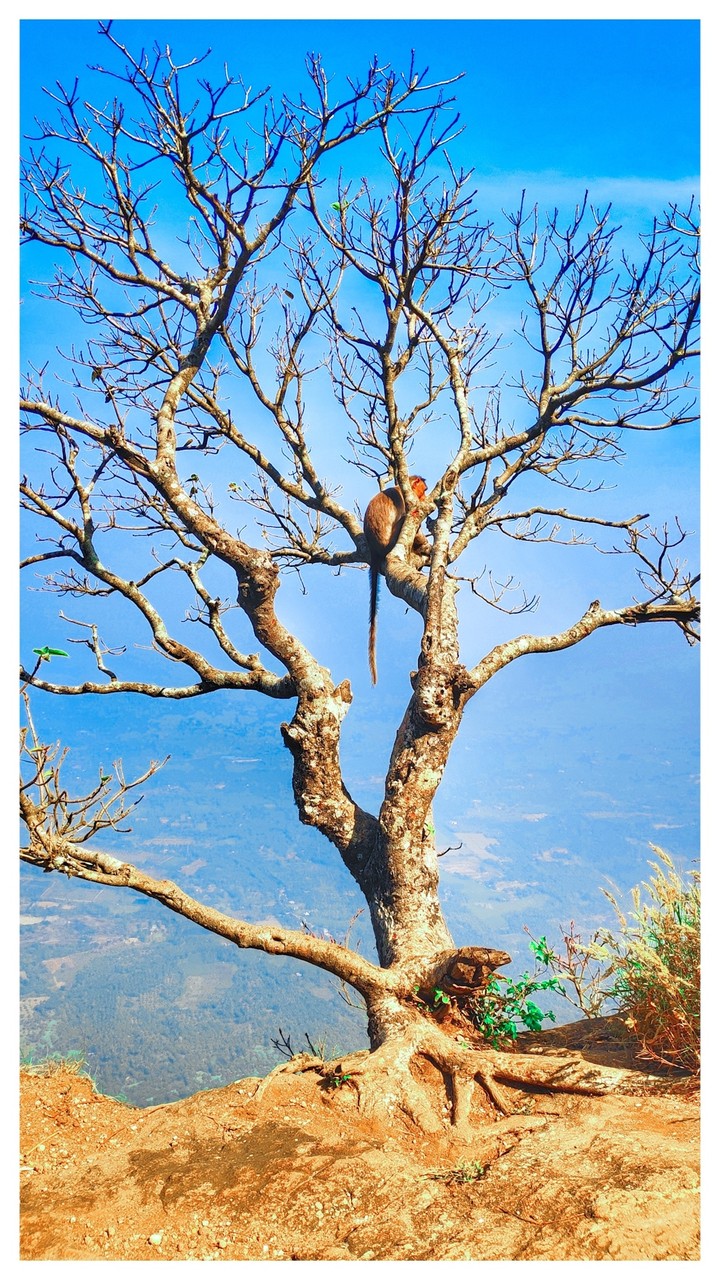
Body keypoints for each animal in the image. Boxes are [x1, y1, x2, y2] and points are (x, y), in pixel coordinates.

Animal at [363, 475, 428, 685]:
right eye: (423, 490)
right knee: (409, 520)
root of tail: (377, 552)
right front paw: (425, 545)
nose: (424, 497)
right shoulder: (407, 501)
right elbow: (412, 516)